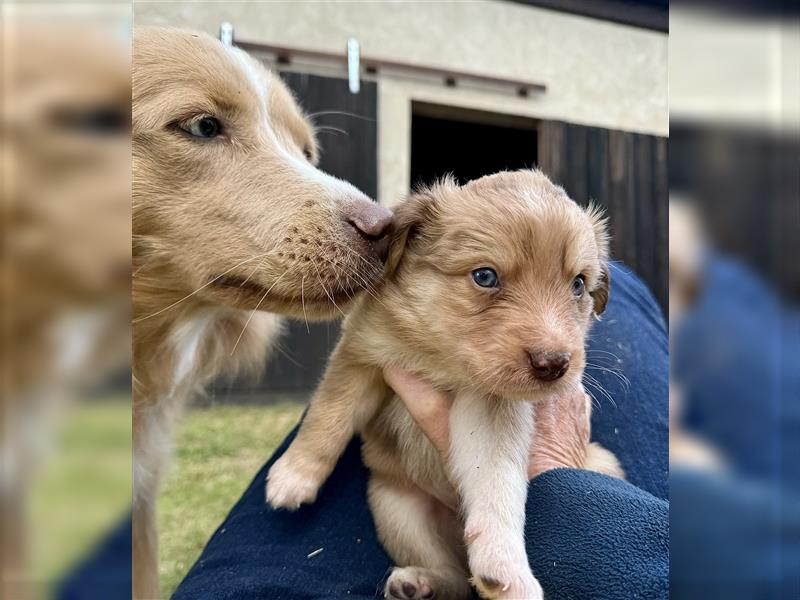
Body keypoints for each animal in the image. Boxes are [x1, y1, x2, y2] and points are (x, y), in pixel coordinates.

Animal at [266, 170, 620, 600]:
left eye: (578, 285)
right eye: (485, 276)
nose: (554, 365)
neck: (440, 356)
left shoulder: (491, 408)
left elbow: (497, 481)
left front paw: (506, 567)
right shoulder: (363, 357)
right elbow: (327, 417)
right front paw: (294, 475)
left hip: (603, 463)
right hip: (398, 508)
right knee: (450, 574)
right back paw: (418, 583)